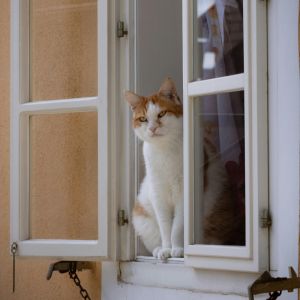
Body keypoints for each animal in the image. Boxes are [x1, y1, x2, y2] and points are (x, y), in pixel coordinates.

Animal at [124, 78, 183, 260]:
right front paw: (166, 249)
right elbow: (165, 225)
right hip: (141, 217)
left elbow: (177, 226)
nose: (152, 128)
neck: (164, 150)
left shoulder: (184, 194)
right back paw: (158, 250)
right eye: (143, 119)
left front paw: (177, 249)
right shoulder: (158, 193)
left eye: (161, 114)